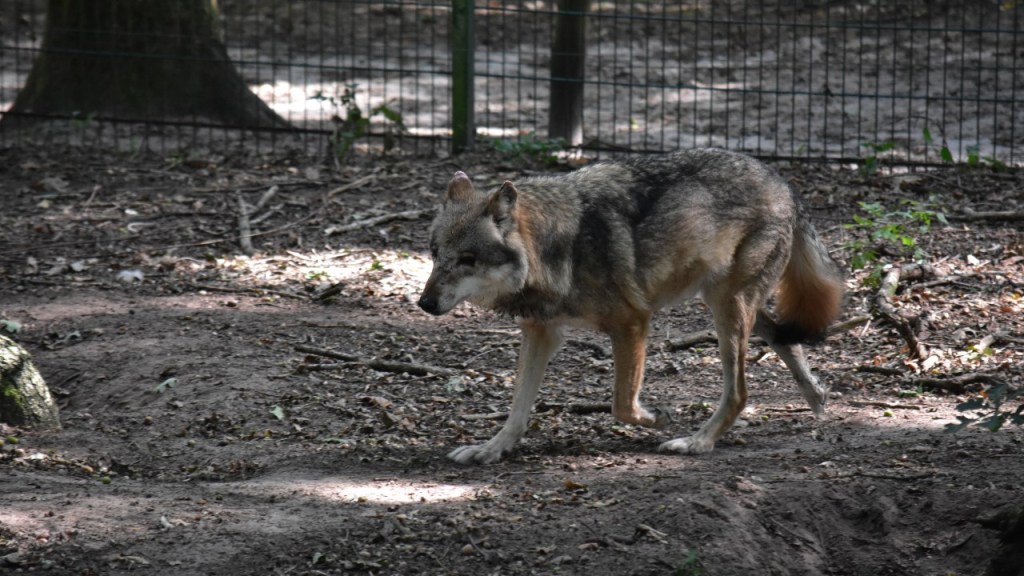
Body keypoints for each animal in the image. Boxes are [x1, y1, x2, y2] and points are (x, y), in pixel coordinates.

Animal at [418, 148, 844, 465]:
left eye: (468, 259)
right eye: (435, 254)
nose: (424, 303)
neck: (556, 247)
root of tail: (783, 182)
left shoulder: (632, 322)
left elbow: (621, 405)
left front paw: (658, 418)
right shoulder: (542, 333)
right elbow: (517, 409)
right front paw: (491, 449)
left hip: (728, 309)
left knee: (739, 392)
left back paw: (697, 443)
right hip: (726, 303)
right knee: (785, 337)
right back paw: (817, 398)